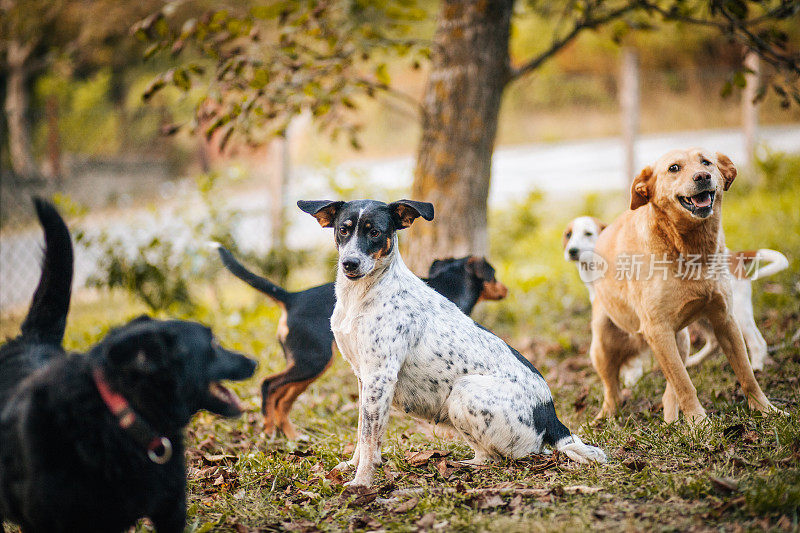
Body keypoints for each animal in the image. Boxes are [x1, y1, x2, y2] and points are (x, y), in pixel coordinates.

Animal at [216, 243, 510, 438]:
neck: (450, 284)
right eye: (494, 275)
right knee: (269, 385)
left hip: (309, 363)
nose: (506, 289)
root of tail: (292, 297)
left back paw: (289, 435)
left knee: (283, 397)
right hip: (313, 360)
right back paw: (269, 430)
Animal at [298, 198, 608, 486]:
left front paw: (362, 482)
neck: (361, 295)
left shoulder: (379, 376)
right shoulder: (364, 378)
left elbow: (369, 437)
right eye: (343, 229)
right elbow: (363, 433)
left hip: (464, 391)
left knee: (500, 457)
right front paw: (353, 467)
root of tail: (552, 418)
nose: (349, 263)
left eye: (374, 232)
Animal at [588, 148, 780, 422]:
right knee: (612, 389)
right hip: (603, 345)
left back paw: (671, 421)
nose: (702, 176)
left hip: (682, 340)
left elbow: (746, 374)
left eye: (706, 162)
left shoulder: (725, 319)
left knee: (670, 389)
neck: (691, 251)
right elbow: (684, 384)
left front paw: (765, 410)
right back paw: (606, 417)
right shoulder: (658, 331)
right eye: (674, 168)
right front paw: (700, 423)